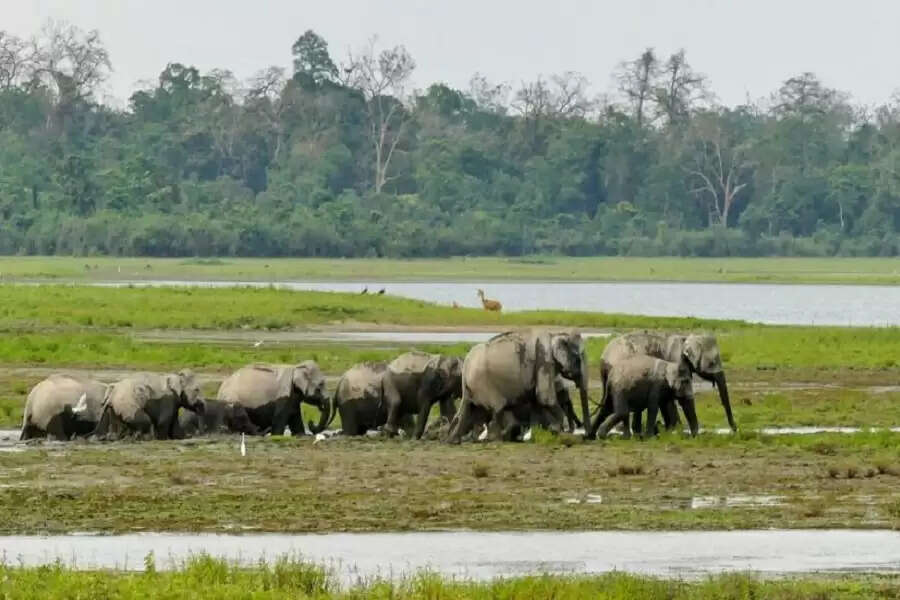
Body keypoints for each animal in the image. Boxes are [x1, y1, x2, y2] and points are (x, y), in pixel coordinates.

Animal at [448, 330, 592, 442]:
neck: (556, 335)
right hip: (483, 382)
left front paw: (537, 434)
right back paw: (497, 439)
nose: (587, 436)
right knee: (497, 408)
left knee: (468, 409)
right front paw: (557, 430)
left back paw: (454, 440)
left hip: (472, 387)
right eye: (578, 359)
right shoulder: (544, 360)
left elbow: (536, 401)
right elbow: (545, 397)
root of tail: (466, 364)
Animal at [596, 330, 736, 434]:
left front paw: (670, 429)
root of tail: (603, 357)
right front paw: (676, 429)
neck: (686, 339)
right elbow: (676, 398)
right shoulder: (677, 363)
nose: (735, 430)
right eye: (712, 363)